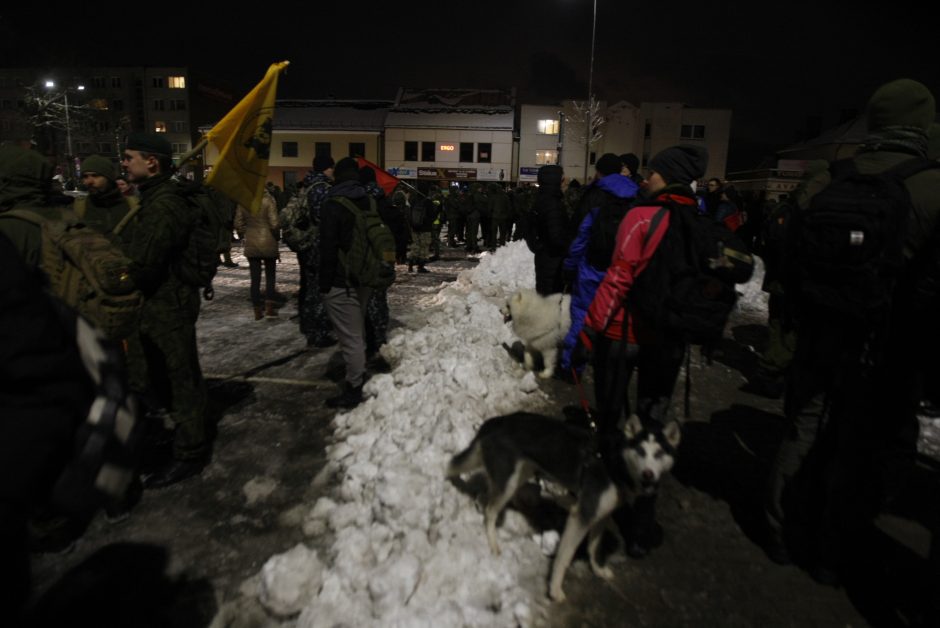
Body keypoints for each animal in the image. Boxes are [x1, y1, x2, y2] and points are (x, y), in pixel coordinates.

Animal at [444, 410, 680, 600]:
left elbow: (594, 548)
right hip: (508, 480)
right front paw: (554, 589)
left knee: (486, 496)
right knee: (489, 511)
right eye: (640, 451)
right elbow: (564, 557)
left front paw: (598, 570)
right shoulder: (581, 516)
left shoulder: (599, 515)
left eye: (659, 453)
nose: (648, 474)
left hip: (520, 473)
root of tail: (499, 420)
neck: (615, 463)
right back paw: (493, 542)